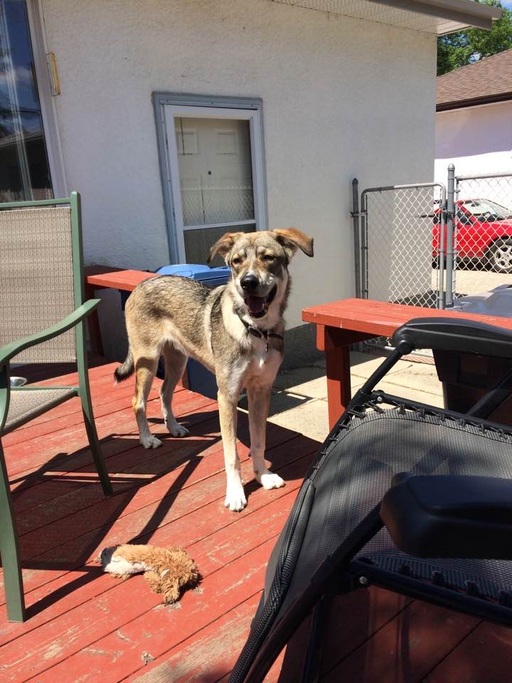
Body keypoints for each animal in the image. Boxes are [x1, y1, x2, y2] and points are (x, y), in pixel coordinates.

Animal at [114, 228, 314, 511]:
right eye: (236, 262)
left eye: (268, 258)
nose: (248, 282)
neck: (256, 330)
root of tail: (143, 283)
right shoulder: (227, 396)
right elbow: (232, 455)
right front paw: (236, 493)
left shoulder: (260, 392)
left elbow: (259, 441)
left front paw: (263, 475)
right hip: (148, 361)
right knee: (138, 401)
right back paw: (147, 439)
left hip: (177, 362)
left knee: (165, 393)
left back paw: (174, 427)